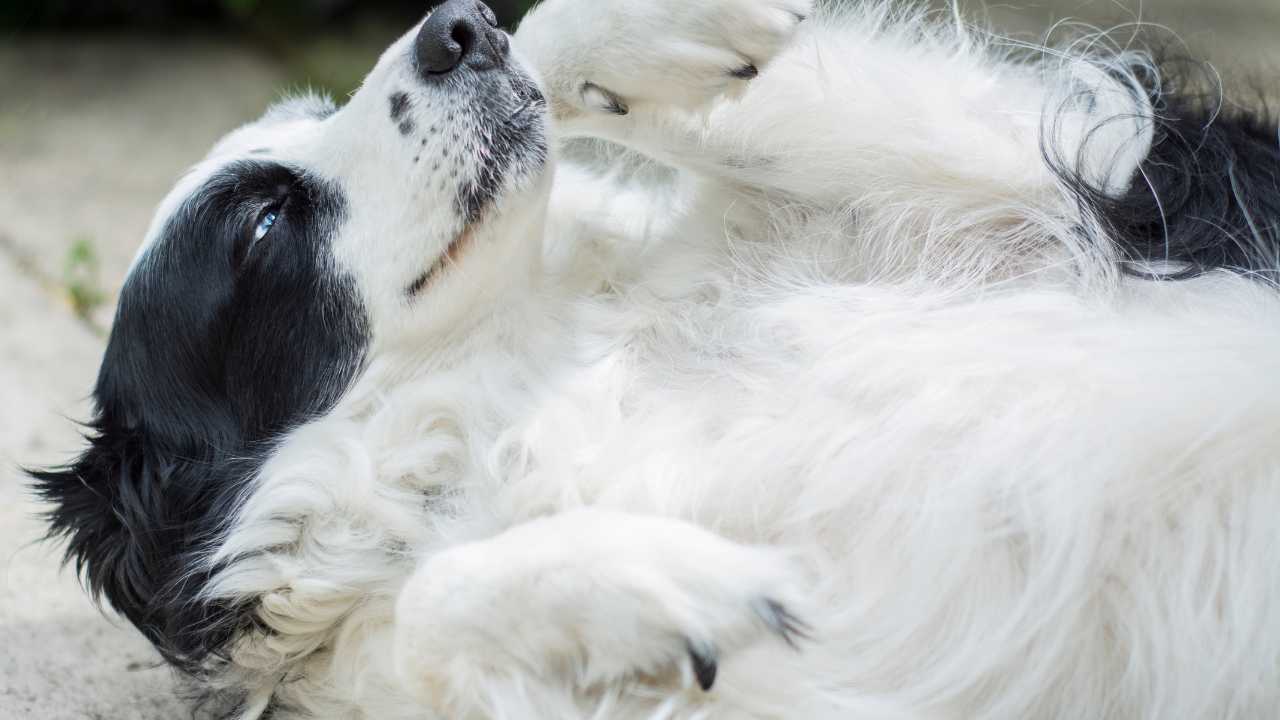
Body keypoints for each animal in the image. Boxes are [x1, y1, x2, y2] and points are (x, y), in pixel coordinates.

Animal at [30, 0, 1280, 712]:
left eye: (314, 107)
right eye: (260, 226)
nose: (456, 22)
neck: (537, 370)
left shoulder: (1097, 190)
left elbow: (571, 34)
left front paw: (678, 36)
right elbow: (427, 603)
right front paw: (652, 582)